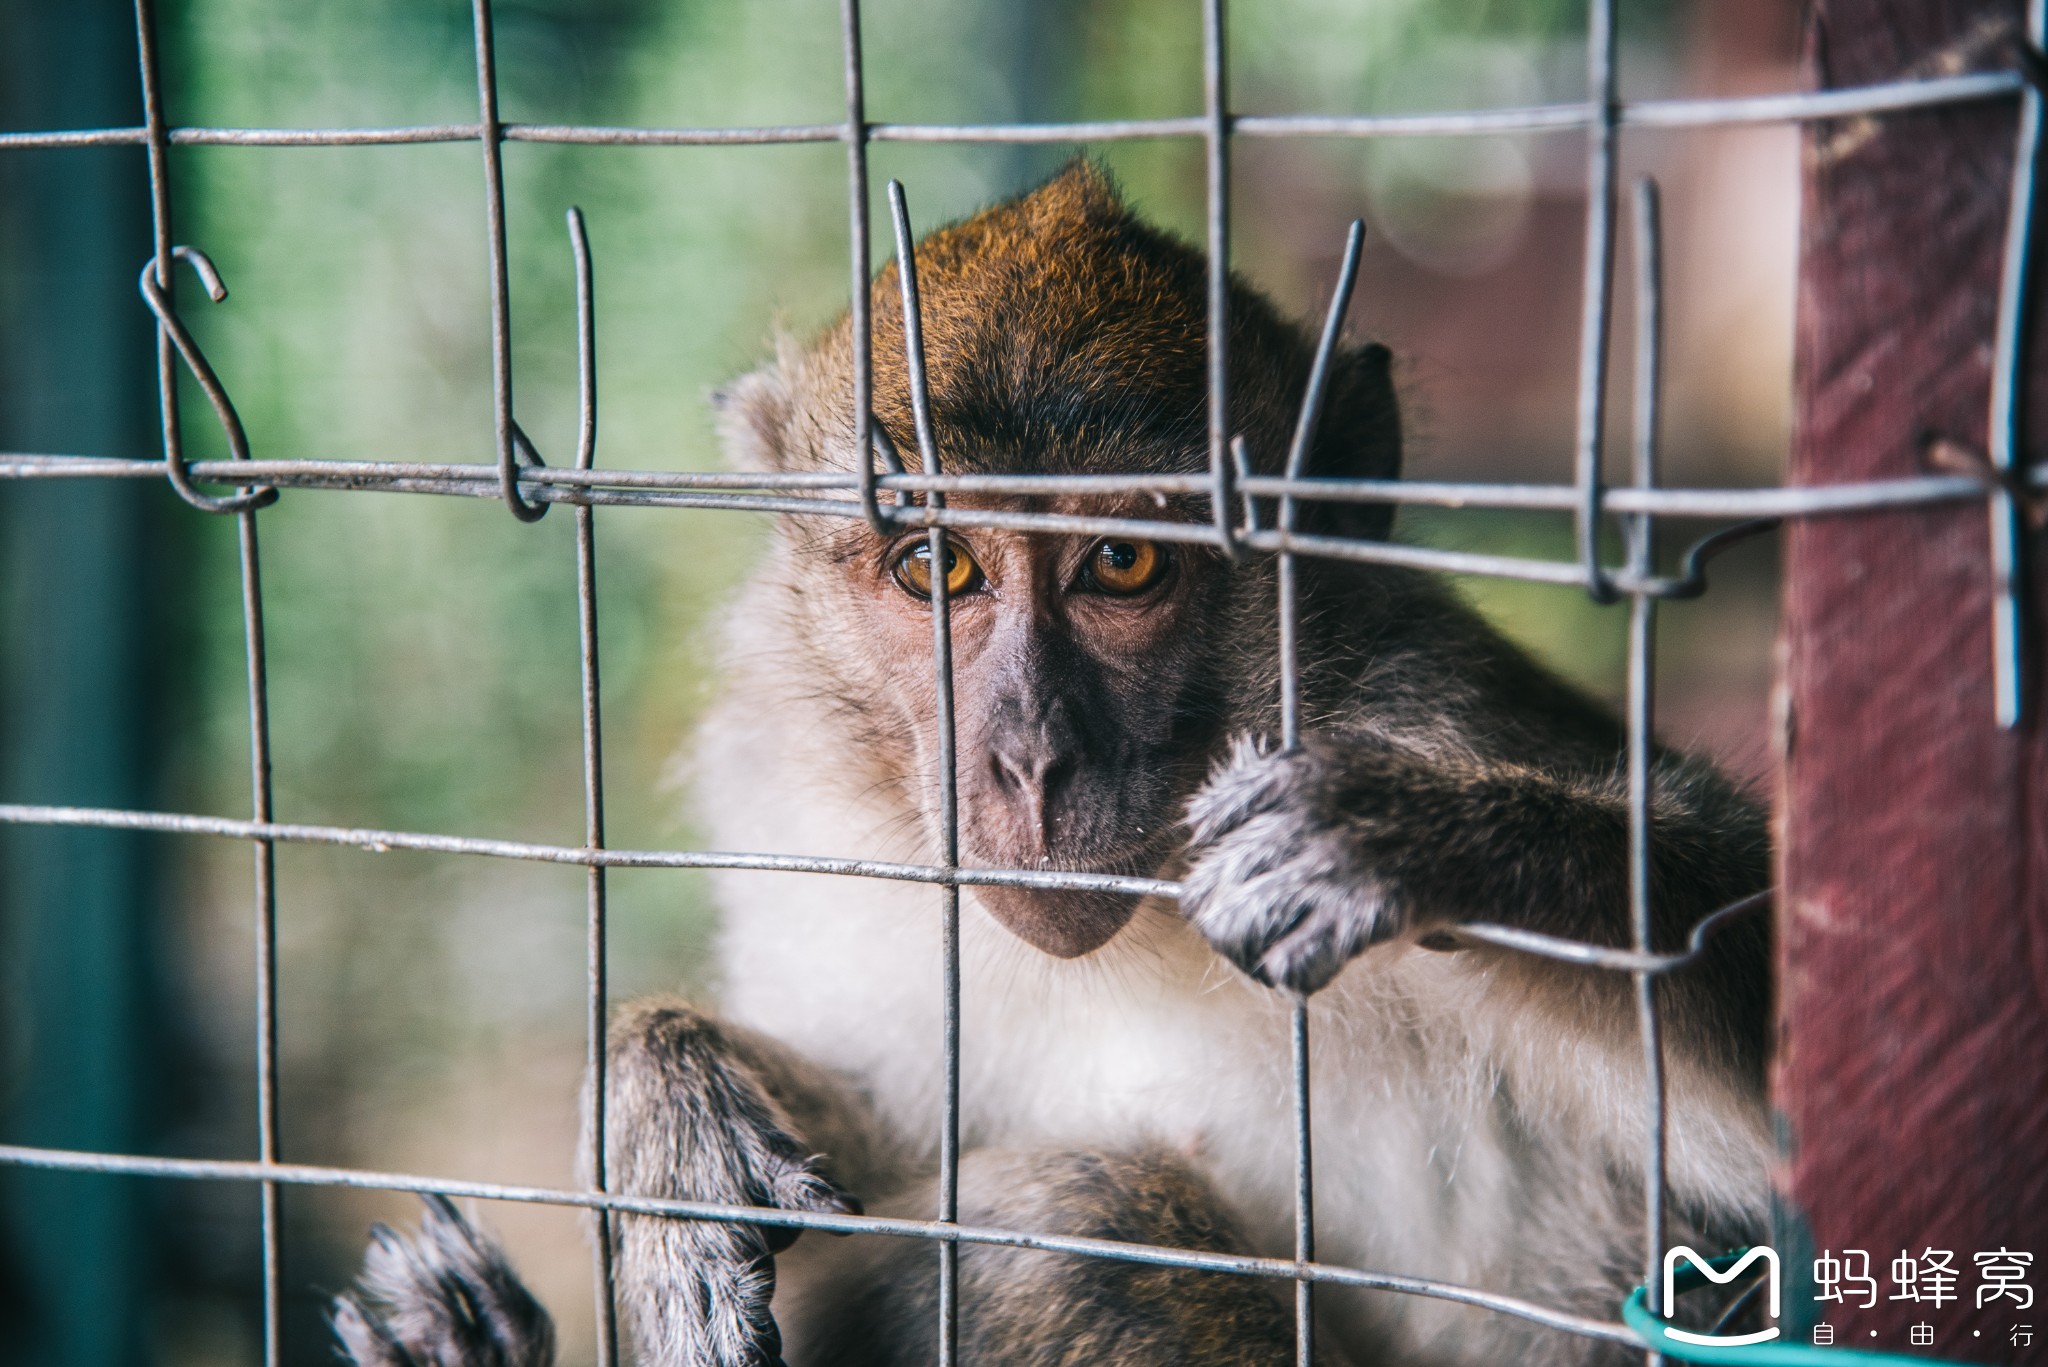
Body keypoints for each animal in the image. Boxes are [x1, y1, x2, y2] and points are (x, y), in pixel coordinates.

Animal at [331, 162, 1761, 1367]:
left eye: (1120, 562)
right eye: (934, 565)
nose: (1026, 758)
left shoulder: (1439, 702)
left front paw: (1393, 831)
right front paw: (660, 1102)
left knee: (1069, 1225)